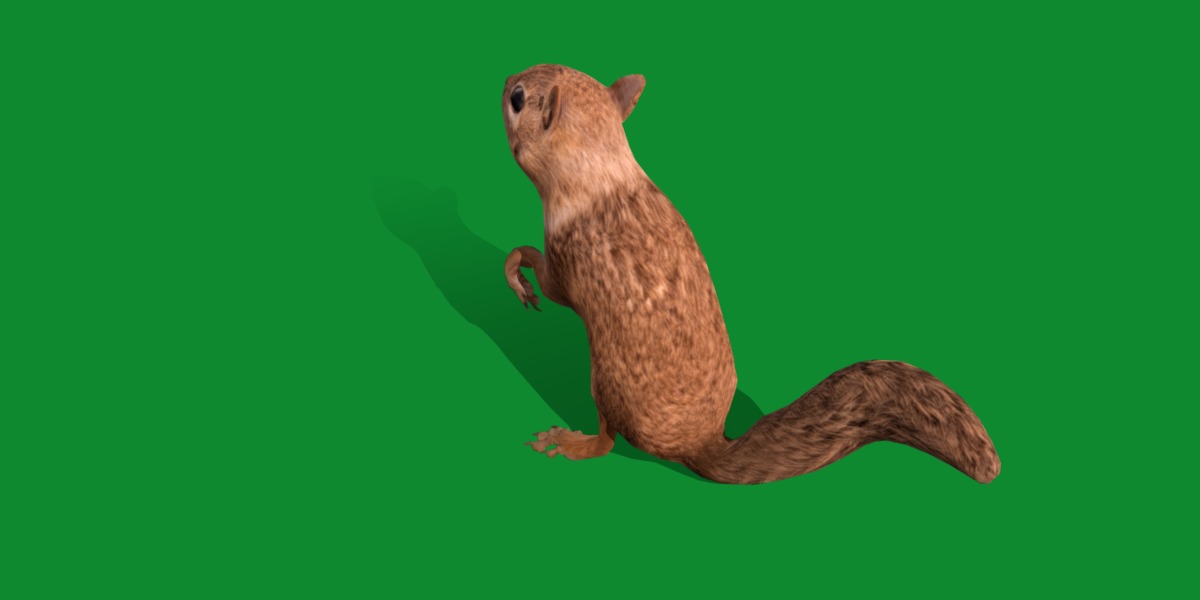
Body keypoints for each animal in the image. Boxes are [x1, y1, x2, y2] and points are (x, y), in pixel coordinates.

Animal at [501, 64, 1000, 484]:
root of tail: (699, 444)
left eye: (519, 99)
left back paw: (573, 442)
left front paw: (516, 272)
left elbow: (547, 279)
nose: (507, 79)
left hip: (605, 381)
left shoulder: (569, 256)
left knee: (609, 440)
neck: (597, 171)